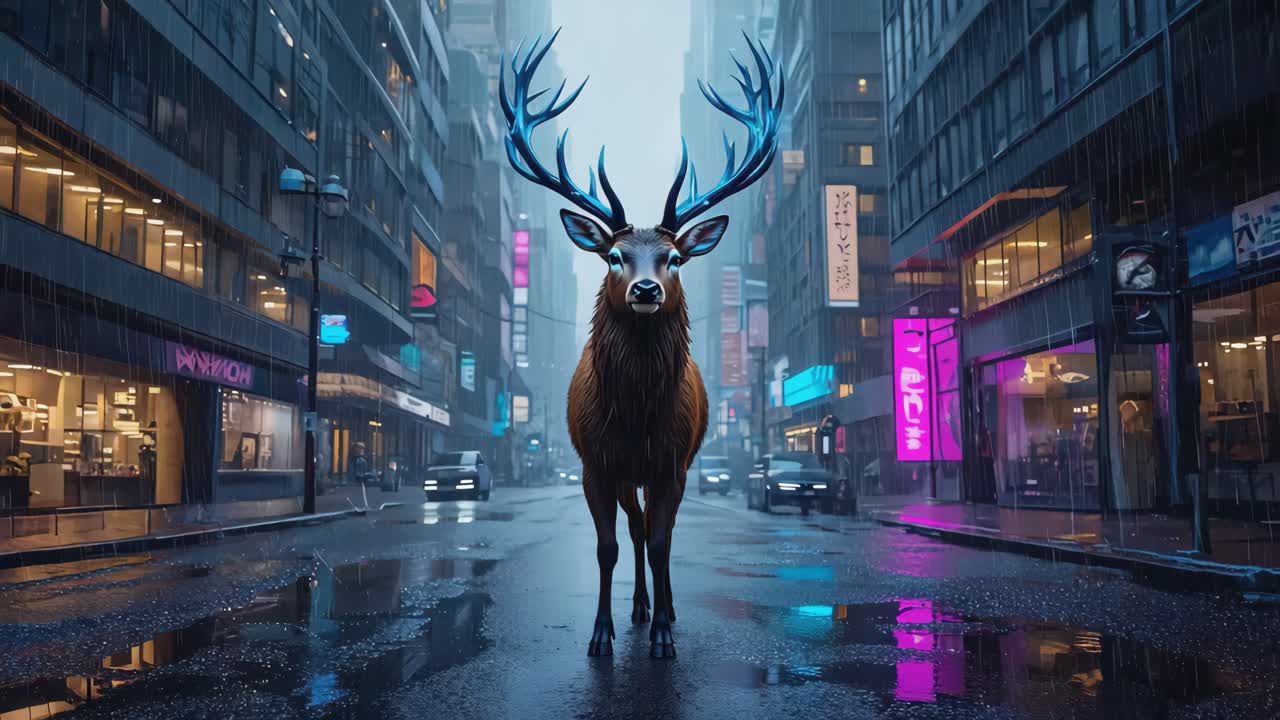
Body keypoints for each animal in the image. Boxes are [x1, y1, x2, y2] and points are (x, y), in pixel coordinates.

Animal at [500, 29, 782, 659]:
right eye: (613, 255)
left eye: (674, 257)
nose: (646, 289)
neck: (633, 412)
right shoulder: (596, 464)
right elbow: (609, 546)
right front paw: (602, 634)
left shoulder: (671, 462)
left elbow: (661, 542)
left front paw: (663, 638)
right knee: (633, 528)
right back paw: (638, 607)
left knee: (658, 532)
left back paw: (665, 609)